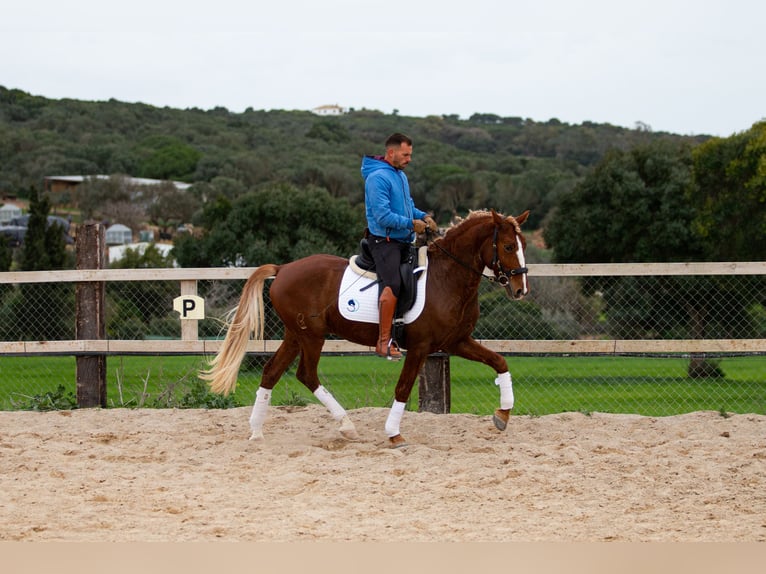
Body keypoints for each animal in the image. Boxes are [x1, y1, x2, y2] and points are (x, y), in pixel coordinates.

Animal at [201, 212, 532, 450]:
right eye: (507, 246)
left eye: (523, 246)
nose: (520, 290)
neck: (447, 278)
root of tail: (283, 269)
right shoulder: (421, 347)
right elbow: (403, 388)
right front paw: (394, 434)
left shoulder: (457, 342)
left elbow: (500, 361)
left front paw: (503, 415)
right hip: (311, 336)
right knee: (306, 374)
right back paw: (346, 425)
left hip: (295, 335)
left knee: (271, 371)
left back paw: (257, 432)